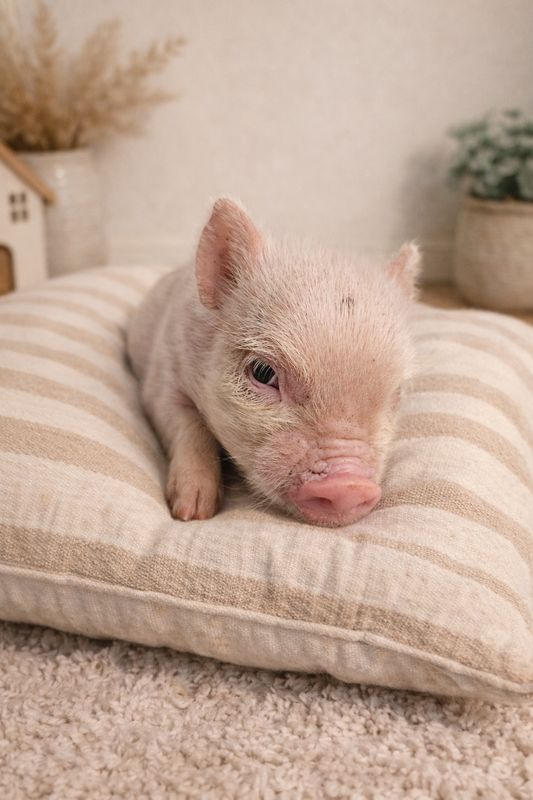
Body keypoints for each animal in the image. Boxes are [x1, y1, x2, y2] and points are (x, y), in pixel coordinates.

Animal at [127, 198, 421, 527]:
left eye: (396, 393)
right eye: (263, 372)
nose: (350, 485)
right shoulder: (162, 373)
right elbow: (183, 420)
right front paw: (192, 512)